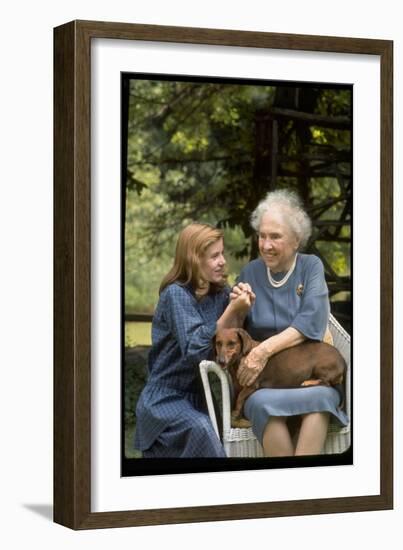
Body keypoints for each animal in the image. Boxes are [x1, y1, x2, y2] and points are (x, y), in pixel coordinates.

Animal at [215, 330, 348, 430]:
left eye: (232, 343)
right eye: (218, 343)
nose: (220, 361)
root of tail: (343, 360)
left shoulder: (251, 385)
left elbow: (240, 398)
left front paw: (236, 413)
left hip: (320, 367)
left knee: (326, 383)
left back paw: (308, 382)